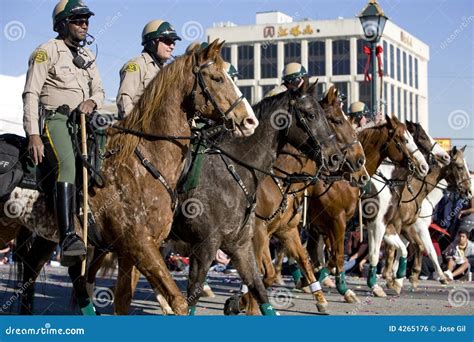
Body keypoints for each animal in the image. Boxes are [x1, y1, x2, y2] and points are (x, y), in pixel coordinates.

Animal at [0, 40, 260, 316]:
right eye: (217, 78)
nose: (249, 121)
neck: (146, 162)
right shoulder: (141, 244)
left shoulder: (133, 251)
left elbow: (124, 301)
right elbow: (179, 301)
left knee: (36, 266)